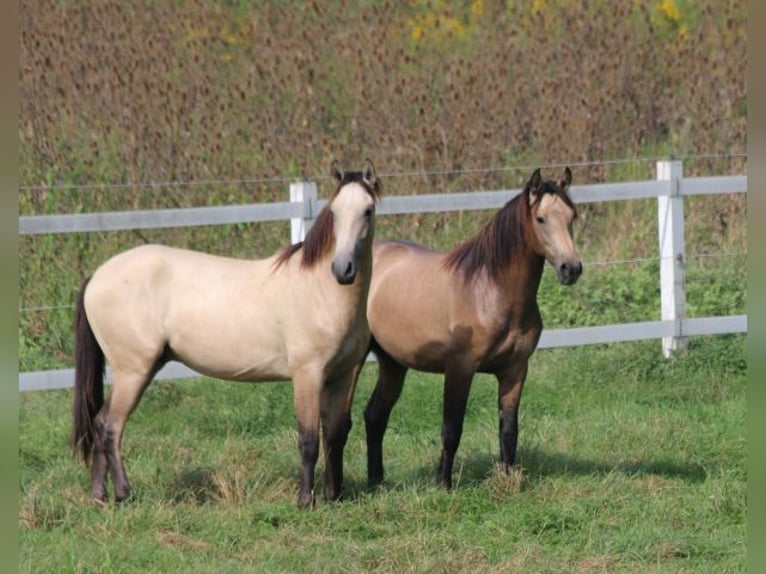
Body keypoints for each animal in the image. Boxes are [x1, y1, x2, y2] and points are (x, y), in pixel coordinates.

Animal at [73, 160, 382, 506]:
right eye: (335, 212)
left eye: (368, 210)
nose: (343, 269)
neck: (320, 291)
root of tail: (97, 276)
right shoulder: (308, 373)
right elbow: (308, 438)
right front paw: (306, 500)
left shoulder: (343, 374)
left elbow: (335, 433)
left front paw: (334, 495)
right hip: (132, 371)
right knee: (110, 426)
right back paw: (124, 494)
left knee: (99, 423)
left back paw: (100, 495)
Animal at [360, 166, 584, 490]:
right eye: (541, 218)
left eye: (571, 216)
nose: (571, 269)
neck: (489, 291)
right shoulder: (460, 368)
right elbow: (452, 428)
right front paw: (443, 484)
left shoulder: (515, 370)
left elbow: (509, 430)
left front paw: (507, 481)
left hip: (393, 363)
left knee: (375, 415)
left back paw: (376, 481)